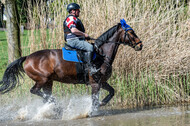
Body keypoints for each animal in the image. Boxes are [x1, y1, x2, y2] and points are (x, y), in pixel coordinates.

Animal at [0, 20, 142, 110]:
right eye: (131, 32)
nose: (140, 45)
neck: (101, 54)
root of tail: (27, 57)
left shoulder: (102, 82)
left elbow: (111, 92)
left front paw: (102, 103)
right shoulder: (95, 83)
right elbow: (94, 100)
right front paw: (90, 112)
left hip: (48, 82)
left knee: (45, 96)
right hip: (42, 79)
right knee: (35, 91)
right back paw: (57, 105)